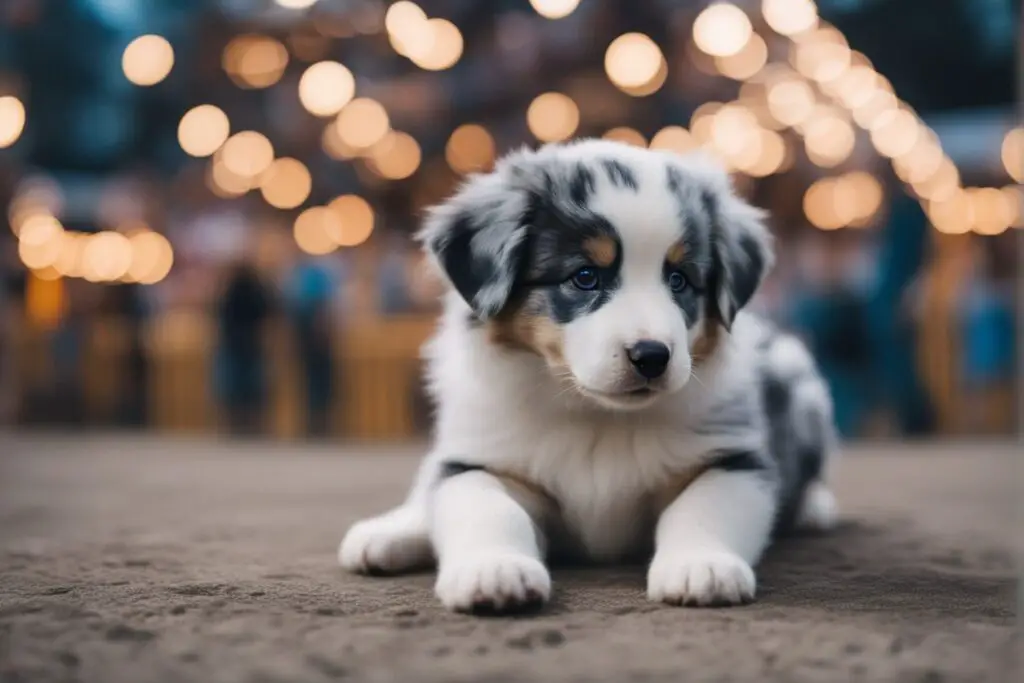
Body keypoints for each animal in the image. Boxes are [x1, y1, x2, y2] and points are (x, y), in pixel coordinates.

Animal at [339, 139, 835, 614]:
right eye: (584, 277)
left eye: (679, 280)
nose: (652, 356)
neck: (597, 415)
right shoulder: (479, 460)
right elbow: (488, 508)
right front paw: (495, 571)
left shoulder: (733, 456)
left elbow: (703, 506)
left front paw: (702, 566)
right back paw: (388, 534)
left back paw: (813, 507)